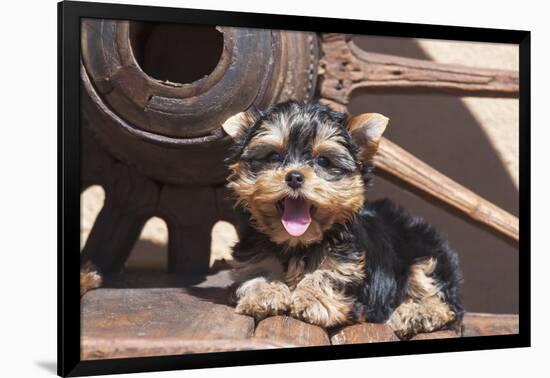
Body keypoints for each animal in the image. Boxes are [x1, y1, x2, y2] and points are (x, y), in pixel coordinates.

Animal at [222, 101, 464, 340]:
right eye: (273, 157)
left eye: (323, 160)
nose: (294, 176)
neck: (297, 243)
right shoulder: (253, 257)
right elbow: (258, 271)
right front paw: (266, 292)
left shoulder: (350, 270)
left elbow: (327, 275)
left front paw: (312, 299)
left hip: (425, 255)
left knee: (445, 303)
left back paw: (417, 313)